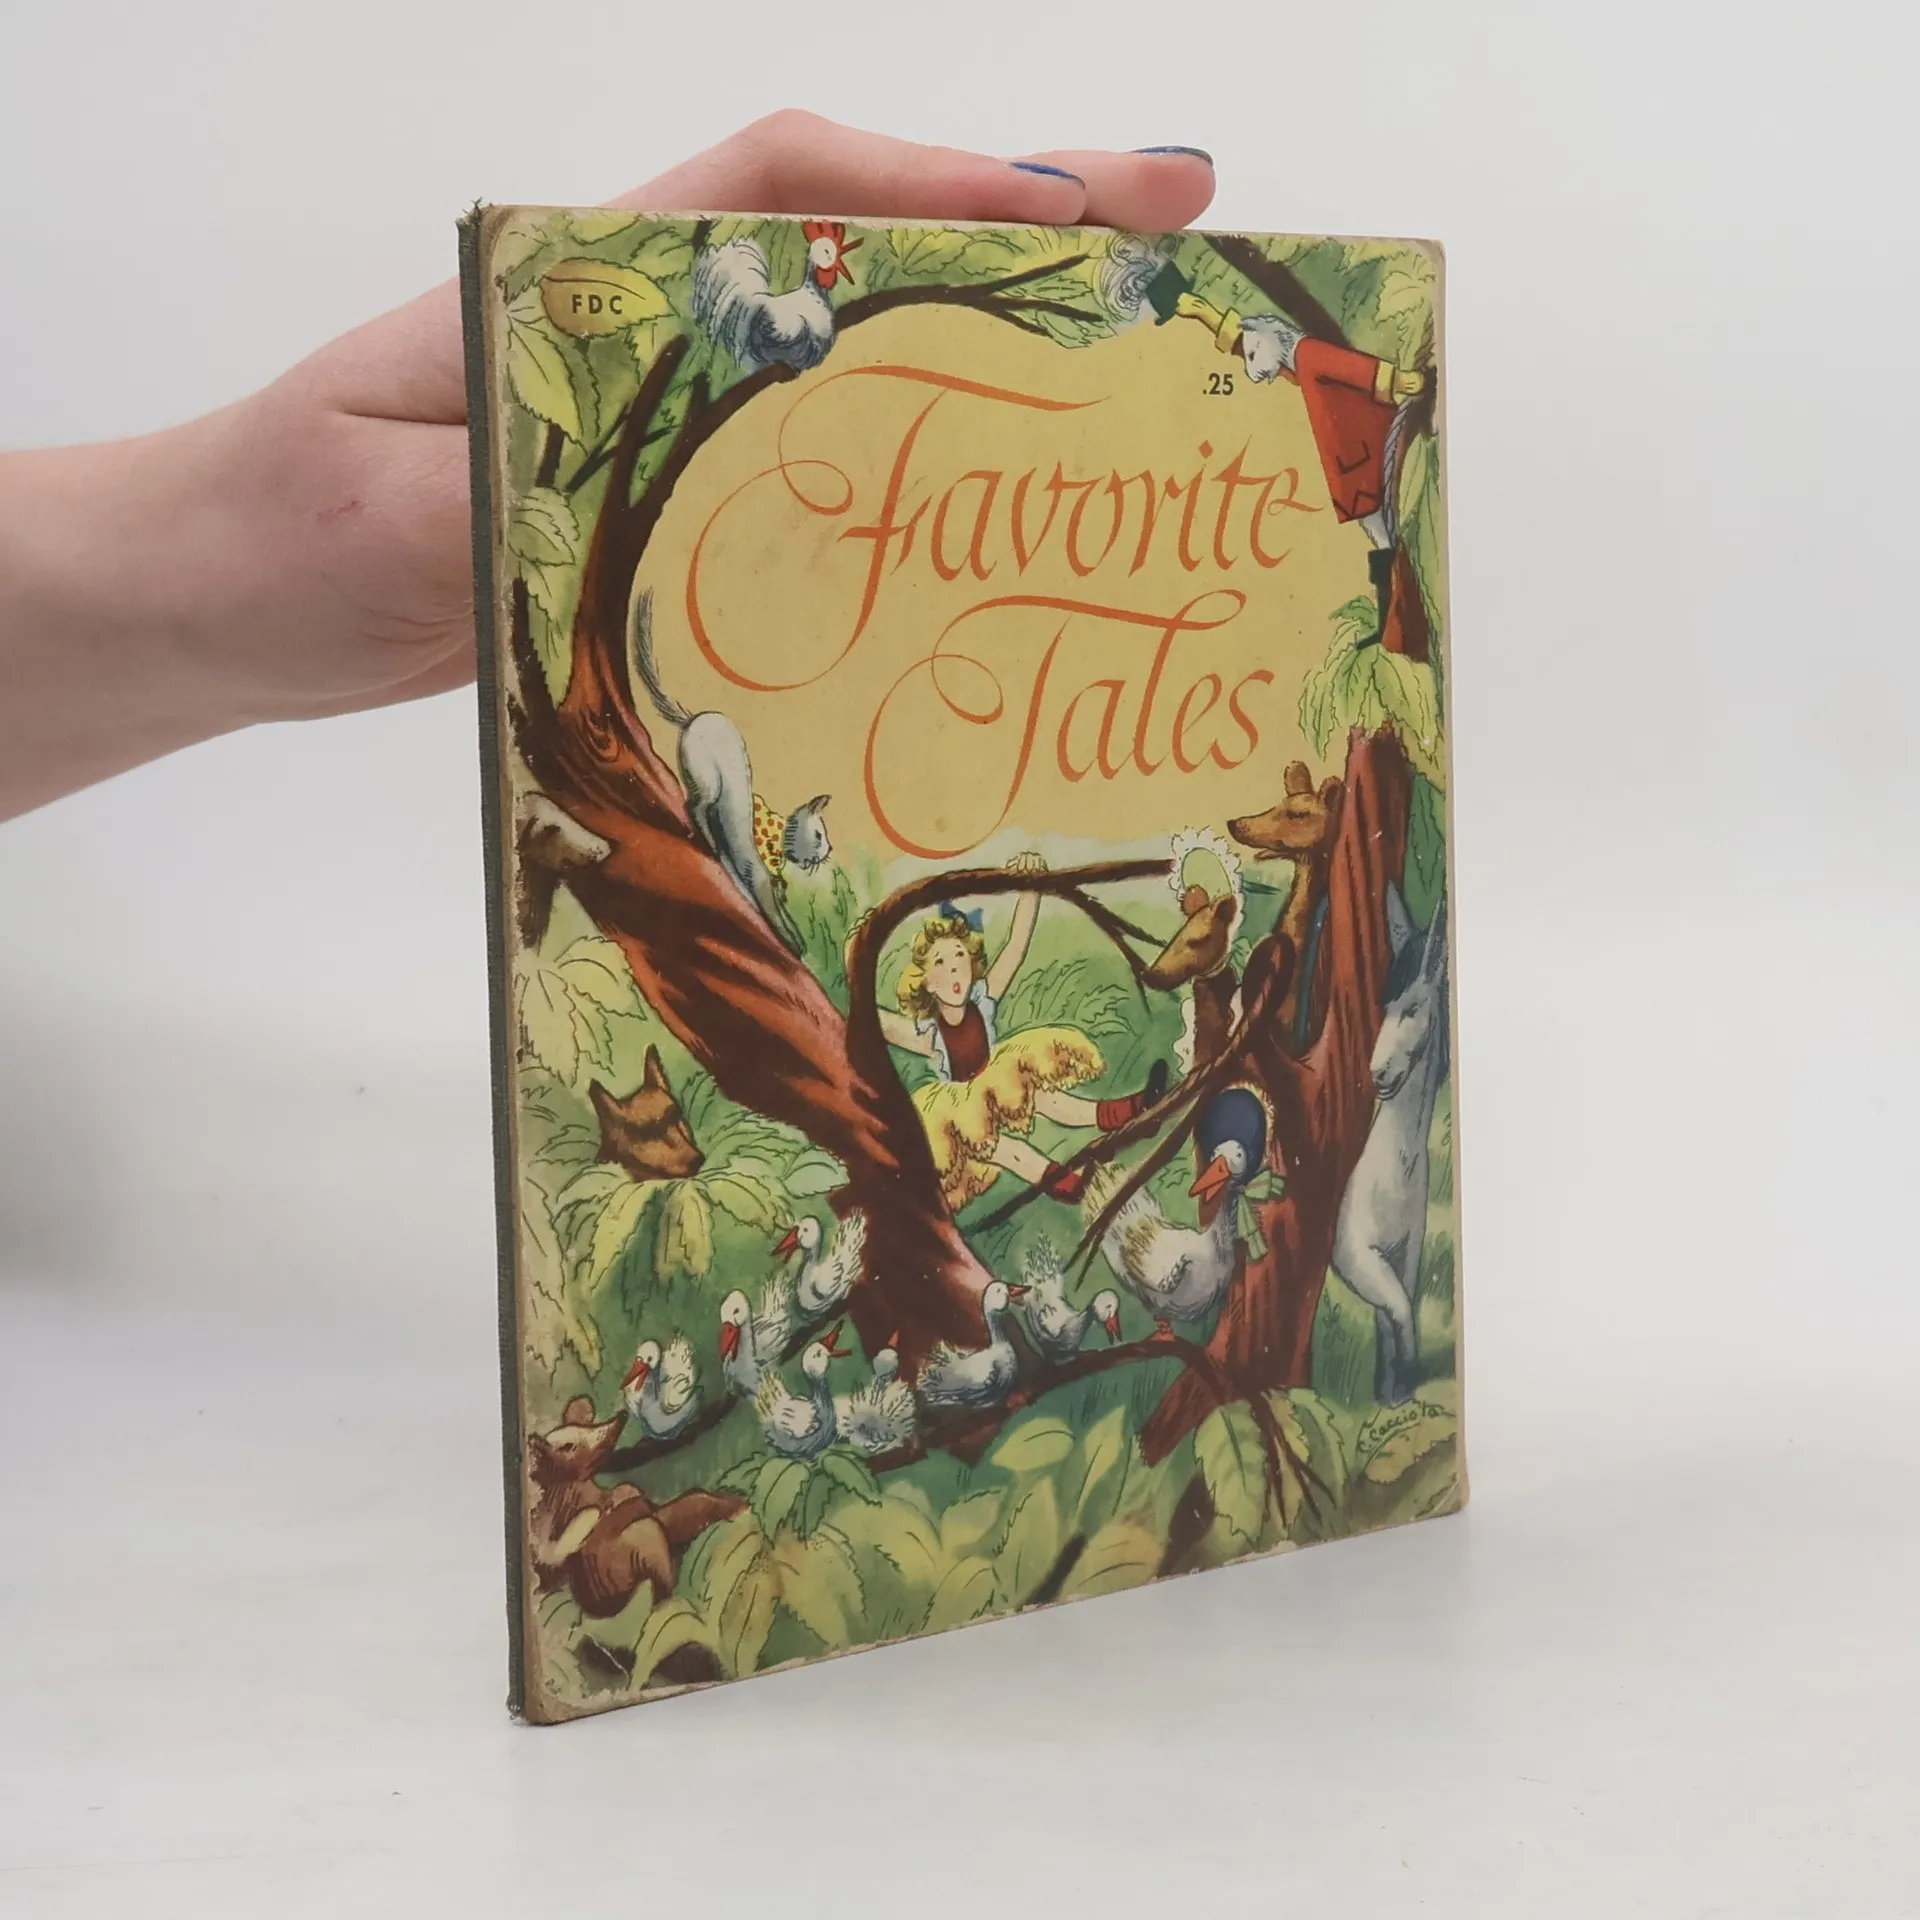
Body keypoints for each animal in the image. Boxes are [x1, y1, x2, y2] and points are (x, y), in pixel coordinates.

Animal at [629, 588, 830, 956]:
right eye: (820, 836)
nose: (828, 854)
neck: (776, 837)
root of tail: (694, 718)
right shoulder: (757, 873)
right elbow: (775, 914)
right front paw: (794, 943)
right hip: (708, 782)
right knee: (692, 806)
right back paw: (707, 838)